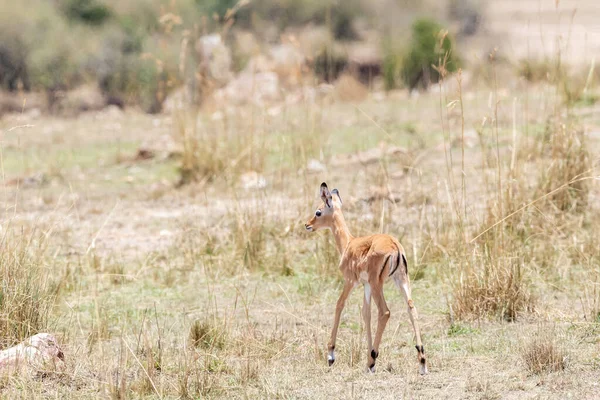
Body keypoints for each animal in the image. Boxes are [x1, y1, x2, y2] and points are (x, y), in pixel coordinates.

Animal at [304, 182, 426, 376]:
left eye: (318, 211)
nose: (307, 224)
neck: (348, 244)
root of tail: (395, 246)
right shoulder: (366, 285)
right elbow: (366, 314)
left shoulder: (350, 282)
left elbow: (339, 305)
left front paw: (331, 355)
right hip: (401, 281)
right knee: (411, 308)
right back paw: (421, 362)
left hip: (379, 285)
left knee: (385, 312)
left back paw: (372, 359)